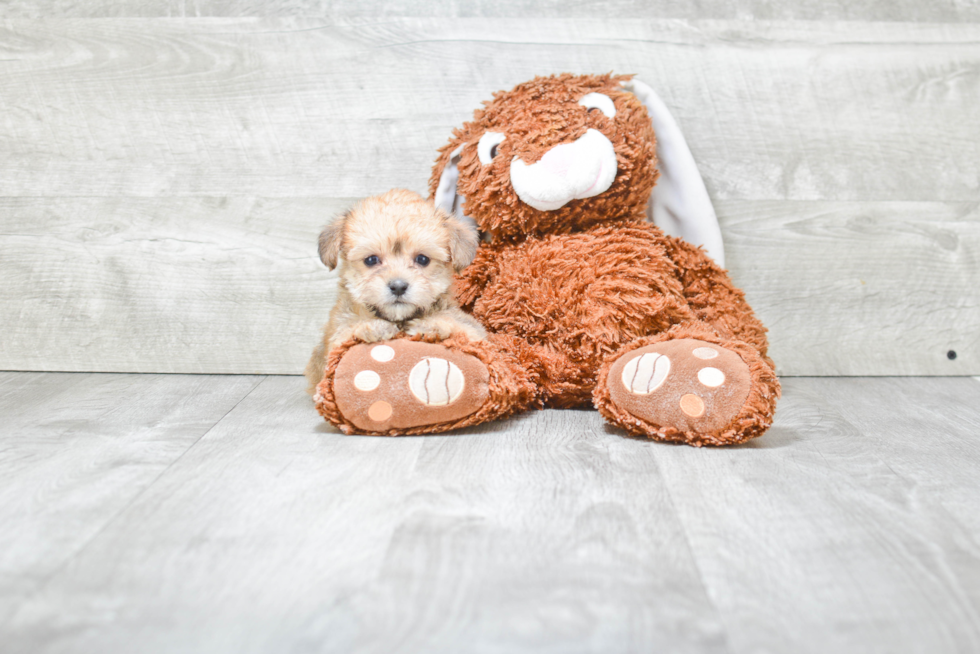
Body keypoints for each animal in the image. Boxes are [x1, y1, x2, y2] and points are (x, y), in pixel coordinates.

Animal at [304, 190, 484, 394]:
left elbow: (461, 327)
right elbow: (346, 334)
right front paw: (372, 327)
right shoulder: (335, 337)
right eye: (371, 260)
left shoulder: (475, 332)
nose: (398, 286)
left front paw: (431, 326)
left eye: (422, 259)